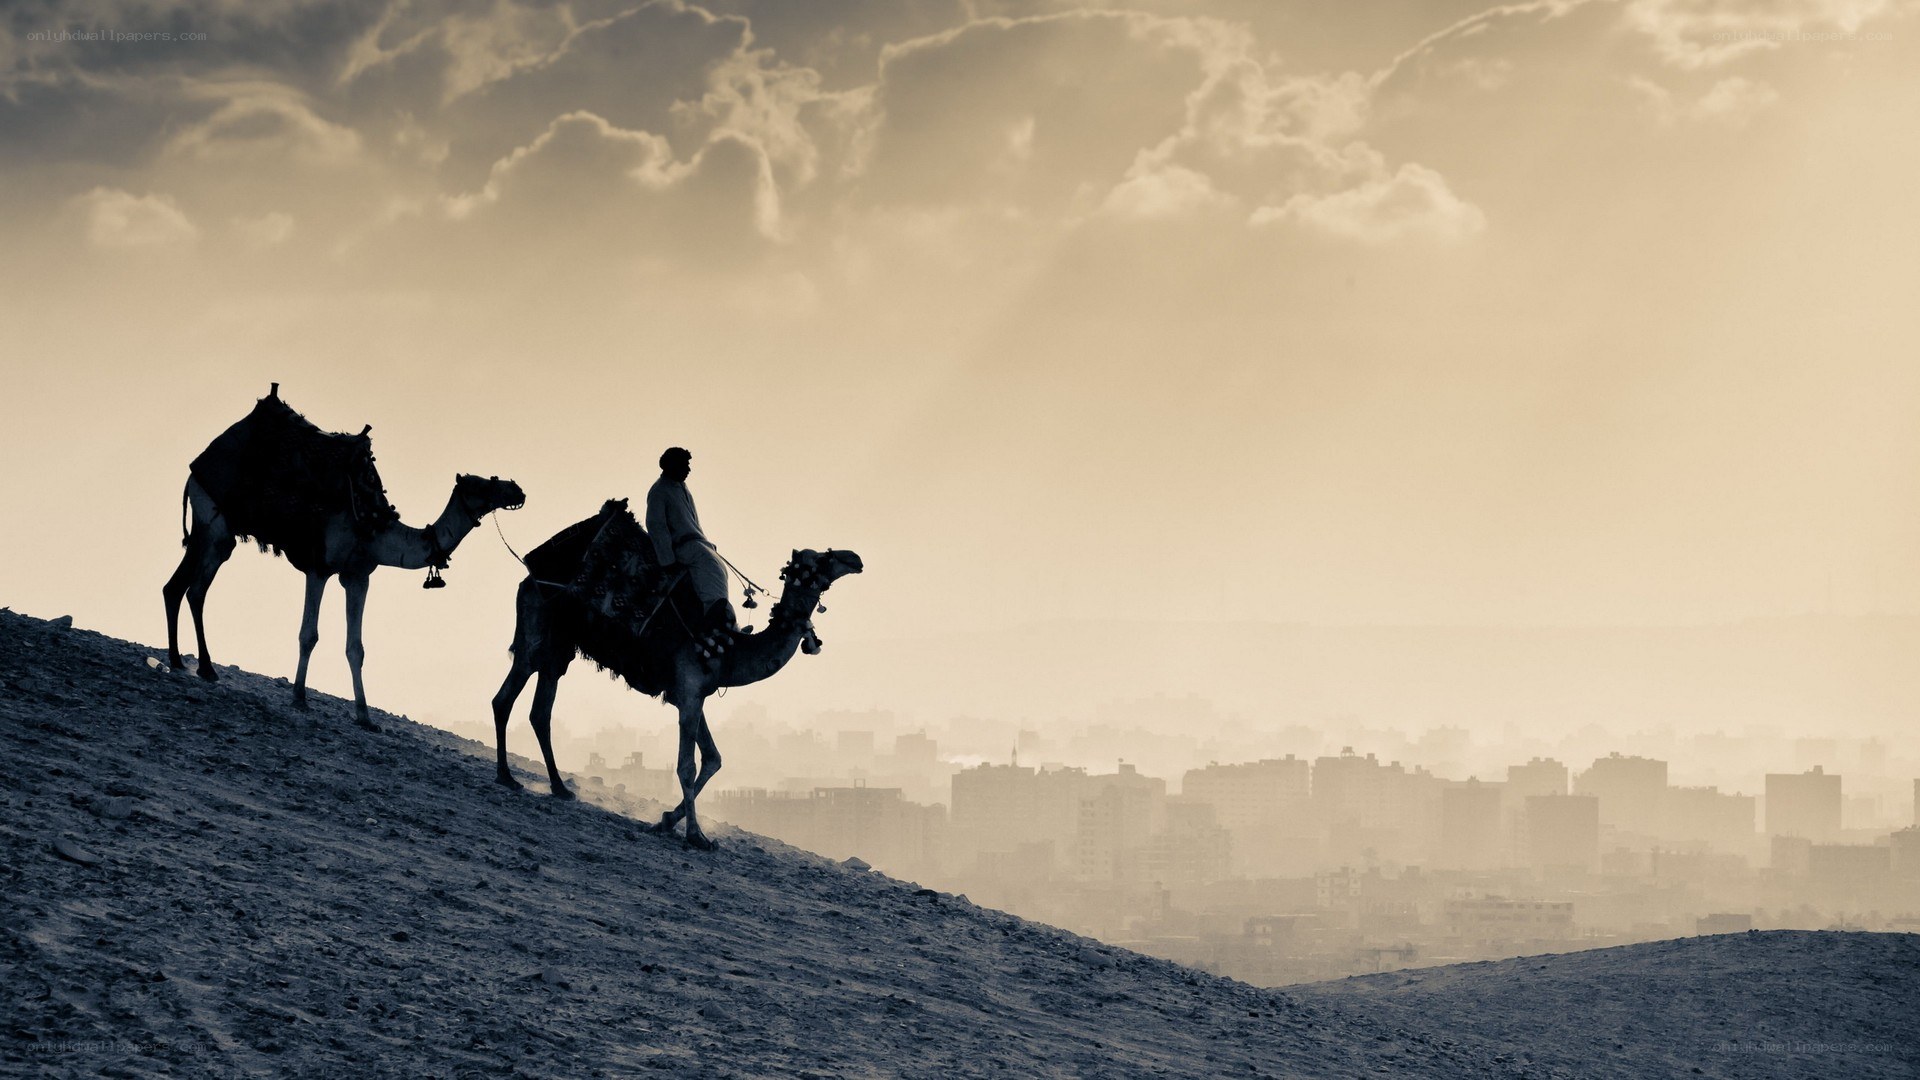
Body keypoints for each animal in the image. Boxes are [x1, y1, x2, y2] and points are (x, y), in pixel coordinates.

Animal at [163, 385, 524, 728]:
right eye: (482, 485)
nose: (517, 489)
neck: (374, 524)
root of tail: (197, 466)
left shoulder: (357, 576)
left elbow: (356, 647)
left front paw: (365, 717)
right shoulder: (319, 567)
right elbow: (308, 635)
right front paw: (299, 698)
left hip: (211, 529)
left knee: (179, 586)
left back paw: (184, 663)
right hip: (214, 523)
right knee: (195, 589)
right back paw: (200, 667)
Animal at [491, 501, 863, 849]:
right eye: (822, 558)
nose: (855, 558)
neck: (729, 649)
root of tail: (529, 574)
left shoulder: (691, 694)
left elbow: (713, 759)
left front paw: (666, 820)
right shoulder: (689, 690)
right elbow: (687, 764)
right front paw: (696, 835)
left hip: (559, 645)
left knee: (540, 710)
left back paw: (559, 788)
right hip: (538, 626)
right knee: (505, 697)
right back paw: (506, 777)